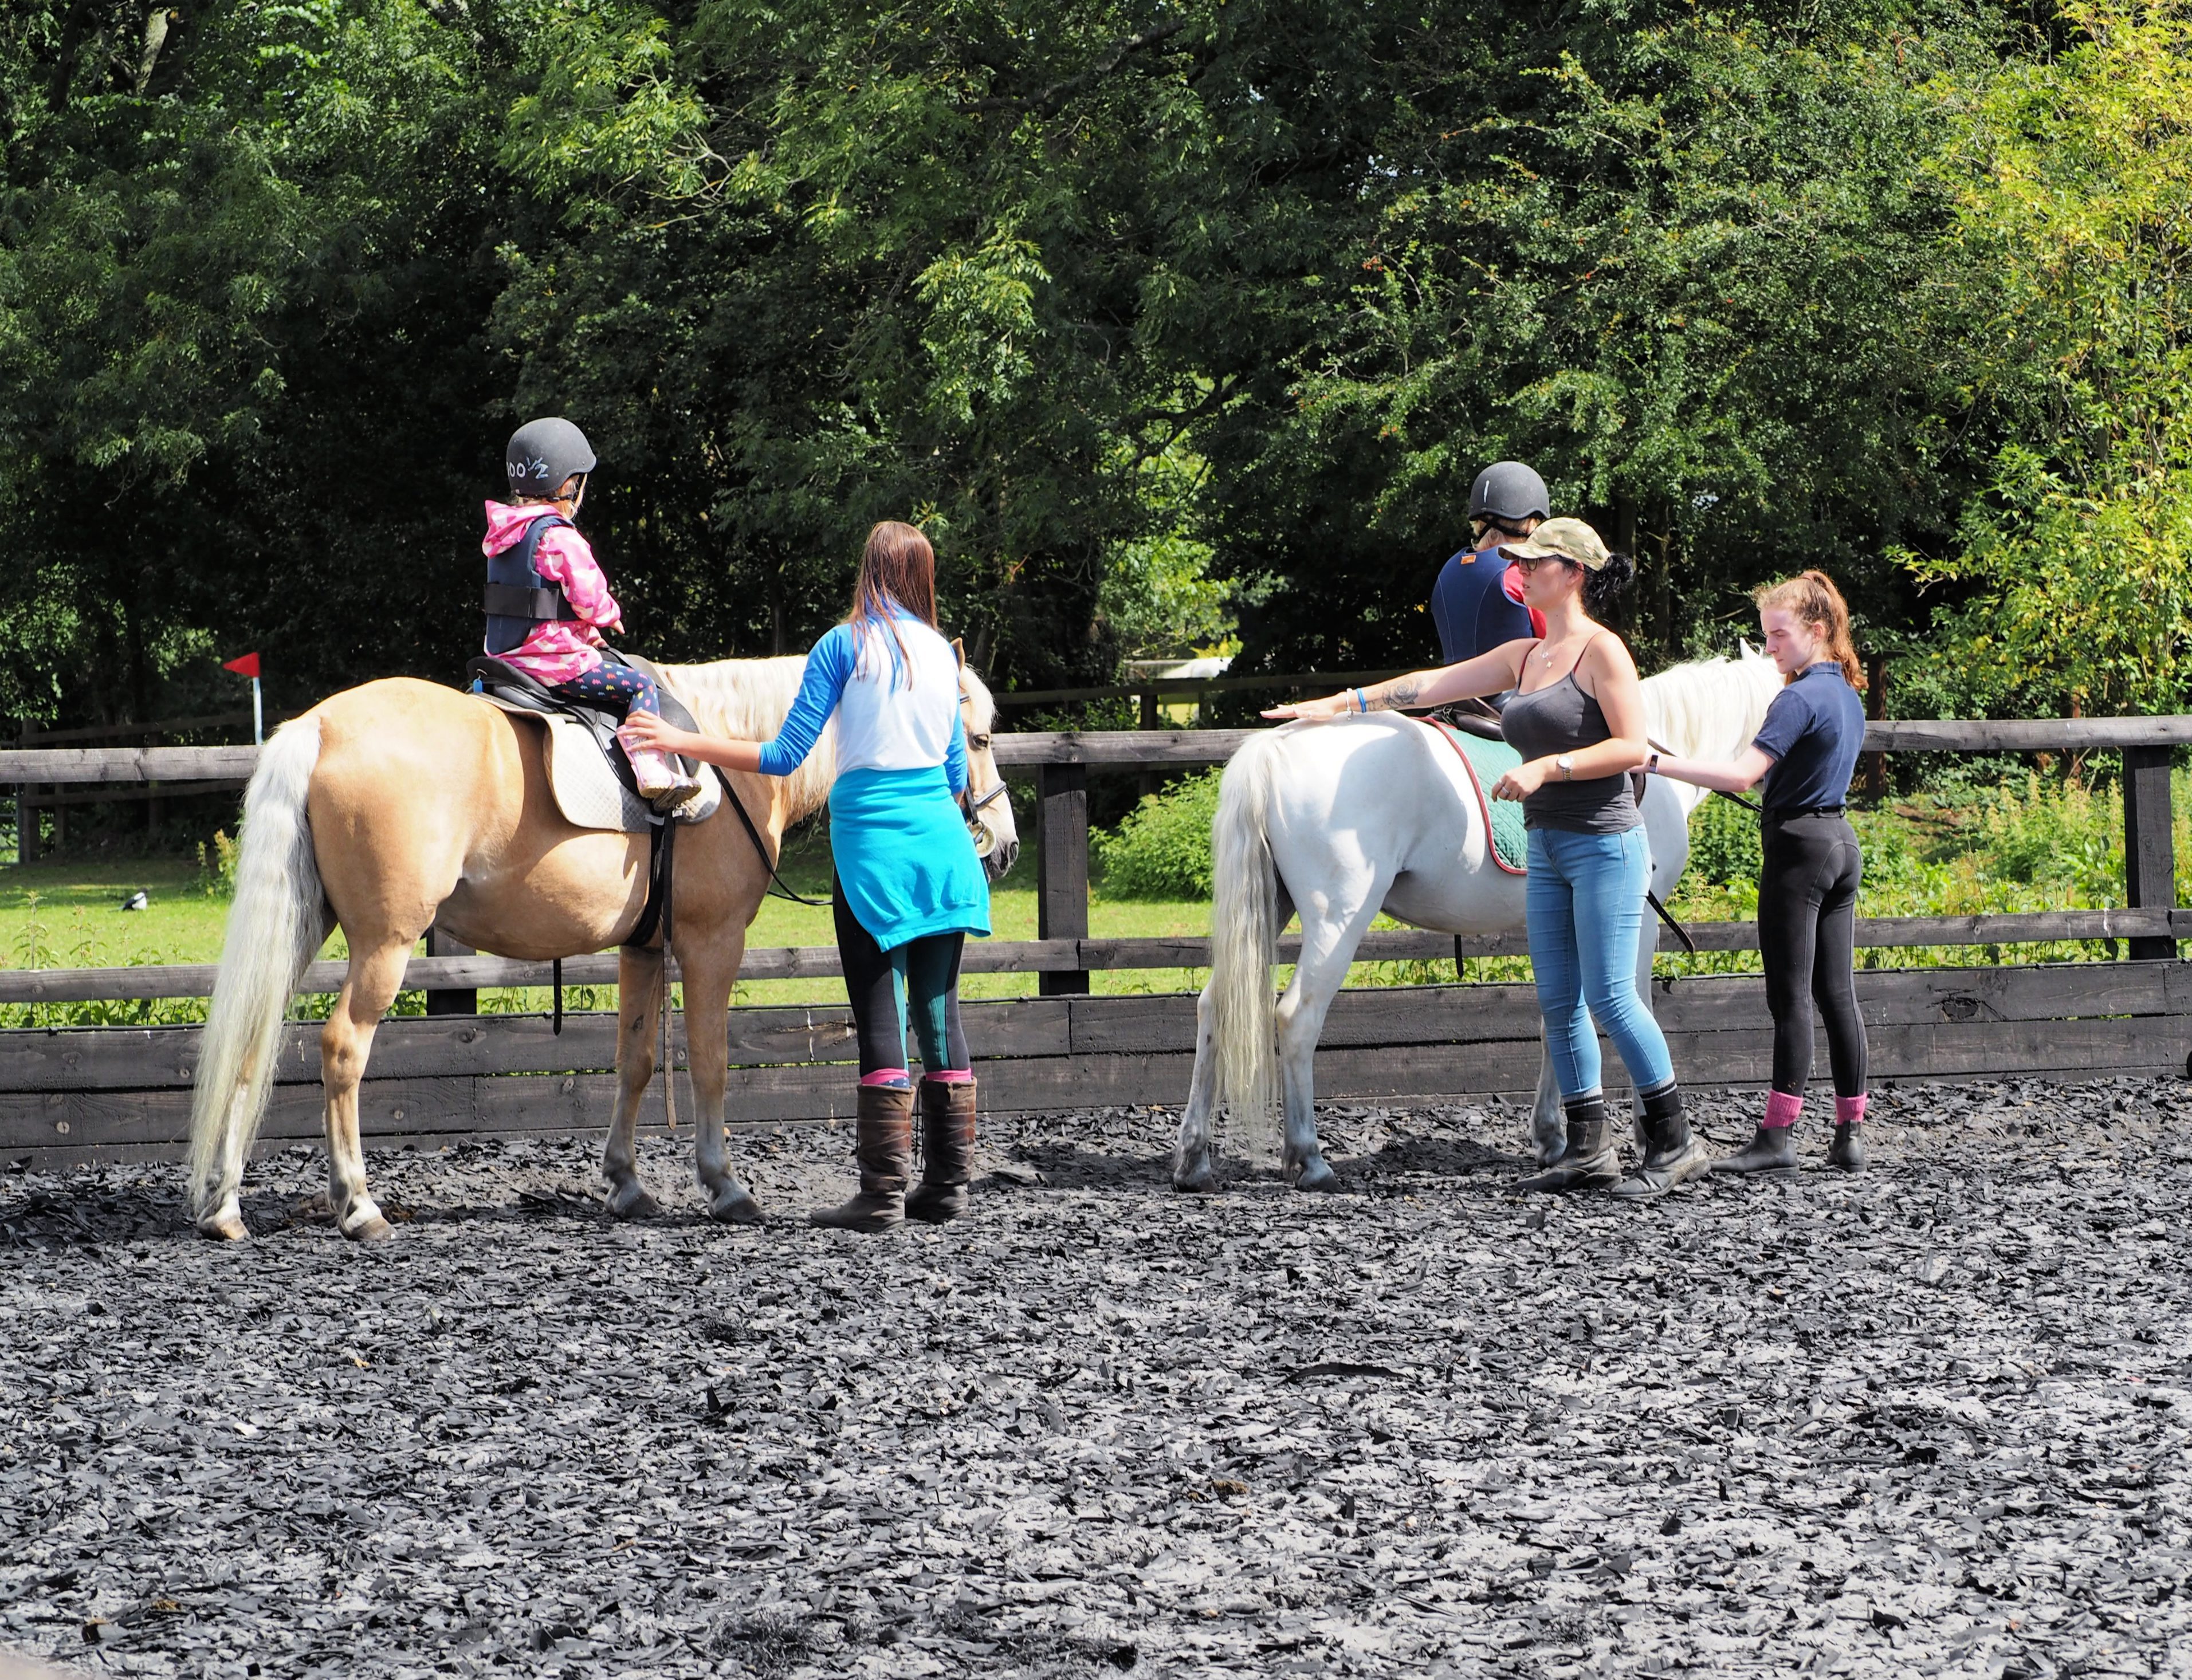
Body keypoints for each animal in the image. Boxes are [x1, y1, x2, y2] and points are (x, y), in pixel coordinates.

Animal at [188, 652, 1017, 1235]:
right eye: (976, 736)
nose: (1004, 845)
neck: (736, 748)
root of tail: (323, 726)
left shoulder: (643, 949)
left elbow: (637, 1061)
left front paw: (626, 1182)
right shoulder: (711, 942)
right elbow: (710, 1062)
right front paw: (724, 1184)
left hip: (306, 926)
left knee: (254, 1041)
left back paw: (225, 1205)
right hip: (385, 944)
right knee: (342, 1050)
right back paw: (358, 1204)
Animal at [1174, 648, 1789, 1191]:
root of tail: (1272, 750)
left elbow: (1557, 1020)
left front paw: (1555, 1137)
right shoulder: (1632, 919)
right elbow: (1627, 1012)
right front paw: (1649, 1134)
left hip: (1271, 910)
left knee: (1213, 1007)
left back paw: (1194, 1159)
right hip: (1338, 918)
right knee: (1298, 1017)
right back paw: (1309, 1159)